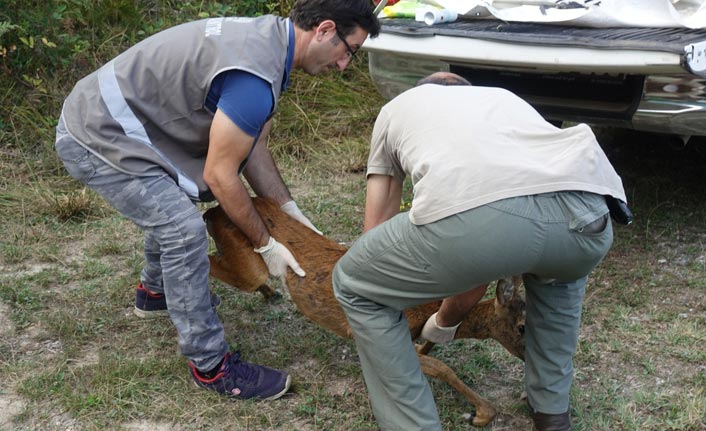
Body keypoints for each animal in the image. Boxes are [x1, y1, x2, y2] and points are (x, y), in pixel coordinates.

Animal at [202, 199, 524, 428]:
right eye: (522, 327)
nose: (527, 357)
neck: (429, 306)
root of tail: (214, 211)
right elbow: (441, 367)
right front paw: (481, 414)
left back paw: (269, 293)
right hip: (248, 264)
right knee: (208, 260)